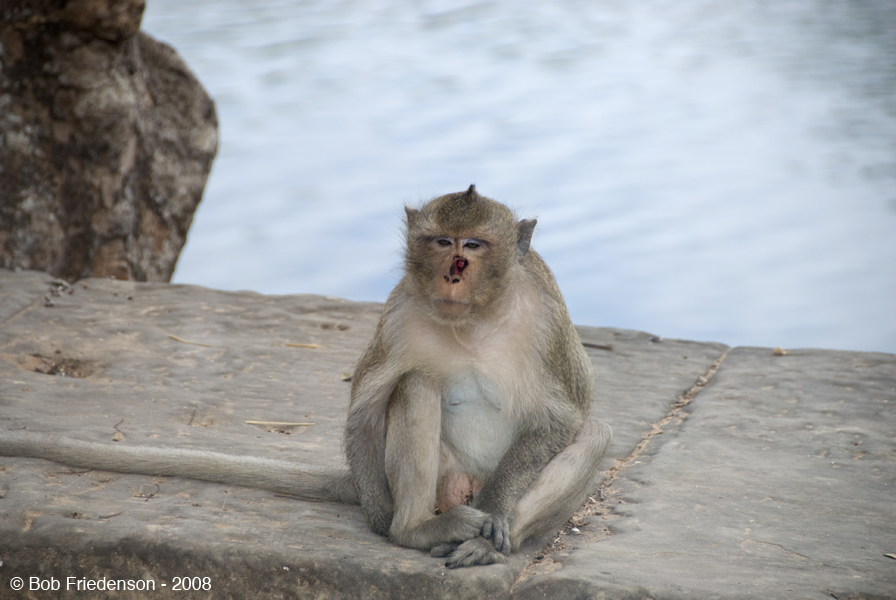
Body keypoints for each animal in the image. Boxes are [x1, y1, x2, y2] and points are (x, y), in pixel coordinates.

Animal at [0, 186, 612, 568]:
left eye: (475, 246)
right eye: (442, 242)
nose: (453, 273)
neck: (473, 322)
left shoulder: (548, 319)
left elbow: (563, 418)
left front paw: (500, 514)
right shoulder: (400, 314)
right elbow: (365, 409)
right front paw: (380, 518)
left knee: (594, 434)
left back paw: (490, 539)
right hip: (445, 480)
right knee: (415, 385)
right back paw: (413, 527)